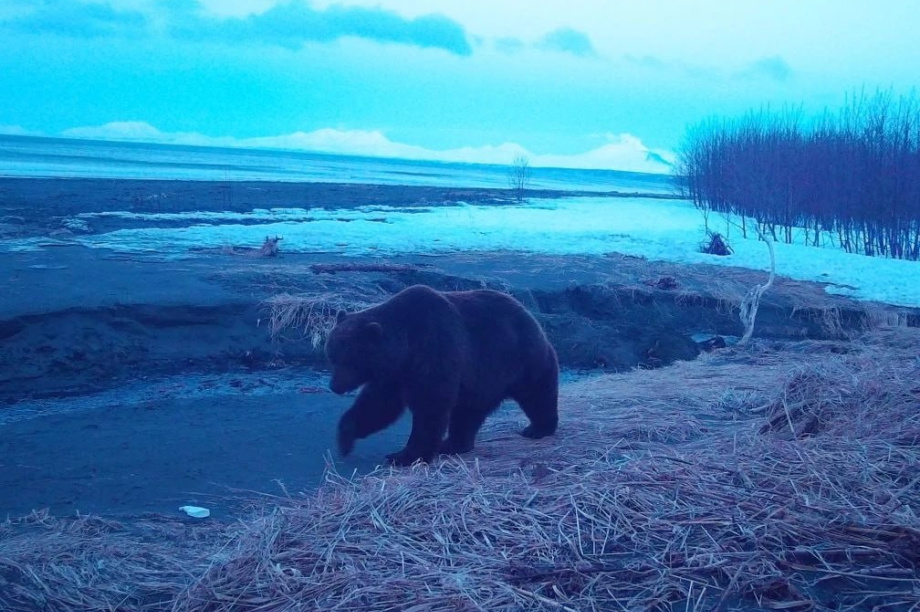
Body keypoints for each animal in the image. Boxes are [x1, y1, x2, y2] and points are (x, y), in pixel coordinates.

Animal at [324, 284, 559, 466]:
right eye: (332, 357)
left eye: (350, 361)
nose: (335, 386)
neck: (406, 349)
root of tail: (529, 313)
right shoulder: (394, 374)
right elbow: (378, 405)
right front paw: (345, 439)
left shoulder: (434, 349)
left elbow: (430, 405)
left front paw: (404, 456)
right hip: (481, 380)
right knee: (468, 413)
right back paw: (453, 444)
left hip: (520, 359)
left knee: (537, 393)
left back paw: (538, 428)